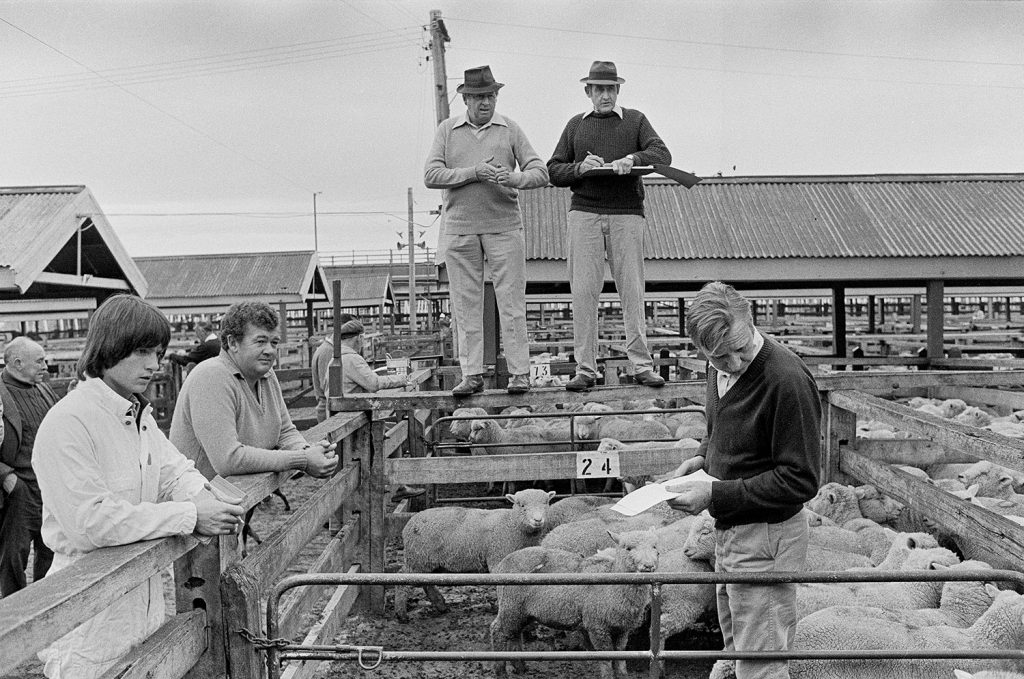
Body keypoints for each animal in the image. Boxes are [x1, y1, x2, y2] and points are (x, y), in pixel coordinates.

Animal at [393, 489, 557, 626]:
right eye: (521, 505)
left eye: (546, 503)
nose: (538, 520)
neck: (512, 525)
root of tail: (408, 525)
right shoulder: (498, 558)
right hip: (418, 558)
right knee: (403, 579)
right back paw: (402, 615)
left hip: (426, 561)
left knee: (426, 582)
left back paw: (441, 605)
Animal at [491, 528, 659, 679]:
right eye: (628, 548)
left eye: (655, 547)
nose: (648, 566)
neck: (614, 585)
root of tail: (504, 561)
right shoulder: (597, 625)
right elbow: (606, 656)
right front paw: (608, 675)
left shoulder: (623, 628)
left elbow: (620, 654)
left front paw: (622, 675)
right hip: (511, 605)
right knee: (498, 630)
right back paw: (501, 671)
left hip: (521, 612)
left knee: (514, 634)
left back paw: (520, 667)